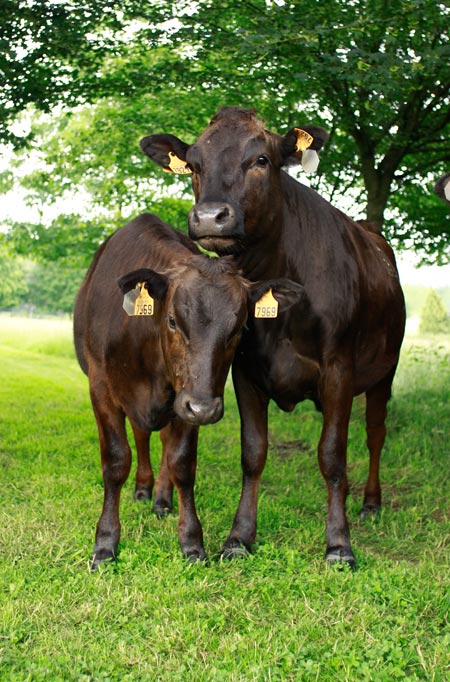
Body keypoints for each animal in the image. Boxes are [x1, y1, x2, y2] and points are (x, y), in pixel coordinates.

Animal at [74, 215, 300, 564]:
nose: (204, 409)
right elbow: (115, 461)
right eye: (171, 321)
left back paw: (161, 499)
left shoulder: (186, 400)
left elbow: (181, 463)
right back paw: (144, 489)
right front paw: (106, 543)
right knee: (141, 437)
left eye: (239, 329)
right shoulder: (101, 388)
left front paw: (192, 542)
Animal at [140, 107, 404, 564]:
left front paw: (339, 543)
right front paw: (239, 537)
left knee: (376, 433)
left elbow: (332, 455)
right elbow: (253, 453)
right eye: (193, 164)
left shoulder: (339, 370)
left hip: (384, 372)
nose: (209, 216)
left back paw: (371, 502)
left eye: (261, 160)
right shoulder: (245, 371)